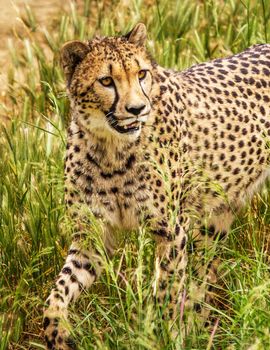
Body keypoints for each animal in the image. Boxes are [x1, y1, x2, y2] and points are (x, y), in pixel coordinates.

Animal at [43, 23, 270, 348]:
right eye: (106, 80)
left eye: (141, 74)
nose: (137, 108)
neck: (112, 150)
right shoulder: (93, 237)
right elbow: (56, 295)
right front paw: (57, 332)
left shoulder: (172, 231)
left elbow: (166, 293)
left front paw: (163, 335)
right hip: (214, 221)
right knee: (202, 279)